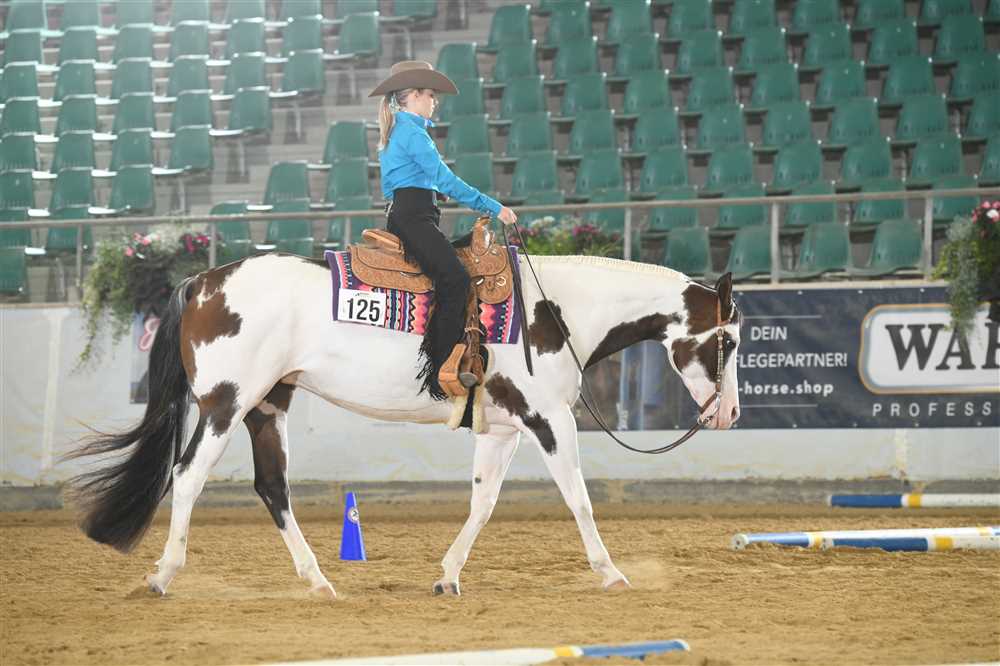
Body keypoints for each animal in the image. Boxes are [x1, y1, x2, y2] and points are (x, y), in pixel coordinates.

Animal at [67, 251, 742, 599]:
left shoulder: (502, 429)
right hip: (224, 404)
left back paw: (317, 579)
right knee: (186, 477)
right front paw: (612, 572)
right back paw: (162, 575)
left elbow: (482, 504)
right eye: (731, 340)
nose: (729, 414)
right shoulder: (547, 419)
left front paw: (447, 576)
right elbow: (578, 497)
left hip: (267, 406)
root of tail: (204, 281)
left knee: (272, 488)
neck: (556, 311)